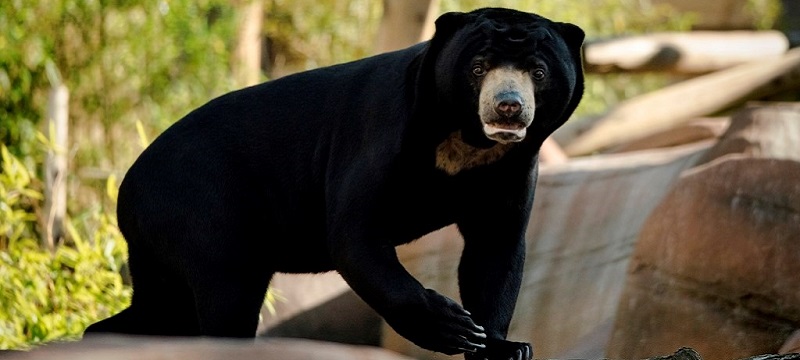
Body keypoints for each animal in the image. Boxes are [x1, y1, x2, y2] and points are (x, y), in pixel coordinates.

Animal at [86, 7, 588, 360]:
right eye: (479, 67)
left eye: (539, 73)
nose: (508, 108)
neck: (469, 141)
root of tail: (126, 188)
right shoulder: (383, 136)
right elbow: (354, 235)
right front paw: (452, 325)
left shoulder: (513, 167)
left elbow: (495, 252)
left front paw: (503, 345)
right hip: (200, 210)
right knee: (223, 296)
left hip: (166, 239)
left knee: (162, 306)